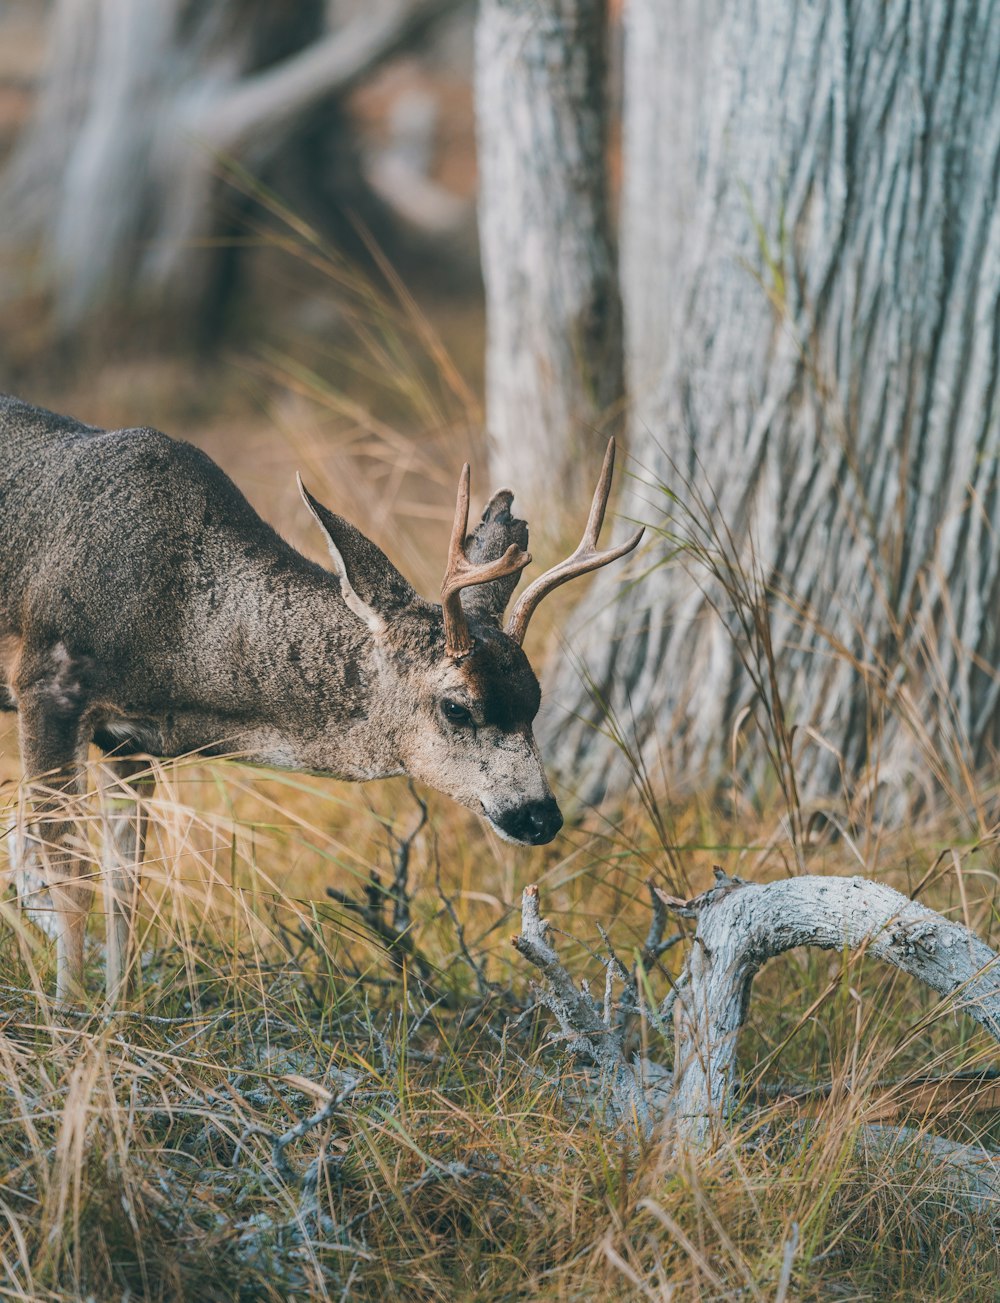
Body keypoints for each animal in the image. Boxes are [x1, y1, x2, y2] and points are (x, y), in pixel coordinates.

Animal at [0, 390, 641, 1000]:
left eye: (535, 701)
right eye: (457, 706)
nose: (541, 816)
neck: (179, 630)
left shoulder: (128, 739)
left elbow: (126, 883)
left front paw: (118, 1011)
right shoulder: (46, 682)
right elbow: (62, 876)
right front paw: (71, 1020)